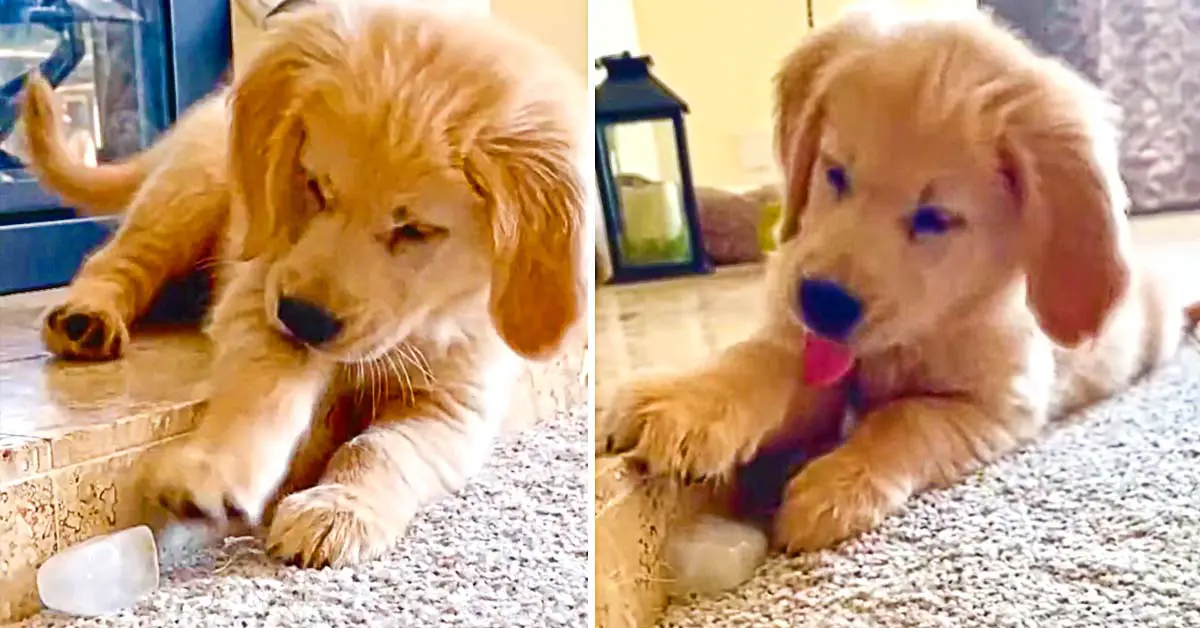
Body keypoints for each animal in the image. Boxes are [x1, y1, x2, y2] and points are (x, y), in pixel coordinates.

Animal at [24, 1, 590, 569]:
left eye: (415, 230)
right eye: (316, 187)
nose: (304, 318)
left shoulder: (456, 403)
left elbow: (381, 448)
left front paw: (340, 507)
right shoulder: (259, 288)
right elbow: (263, 387)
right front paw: (215, 470)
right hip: (188, 193)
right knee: (117, 261)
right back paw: (87, 319)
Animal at [600, 6, 1200, 554]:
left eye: (935, 218)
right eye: (835, 172)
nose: (822, 302)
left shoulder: (997, 407)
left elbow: (907, 419)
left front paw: (836, 488)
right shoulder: (803, 341)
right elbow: (756, 361)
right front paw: (686, 400)